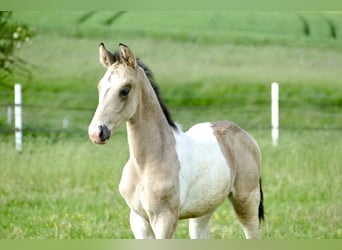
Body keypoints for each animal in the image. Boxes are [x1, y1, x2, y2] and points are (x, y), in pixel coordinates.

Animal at [88, 42, 264, 238]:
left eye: (125, 90)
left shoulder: (164, 219)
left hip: (246, 201)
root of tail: (243, 134)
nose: (97, 132)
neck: (147, 162)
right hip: (204, 209)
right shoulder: (138, 219)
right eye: (99, 87)